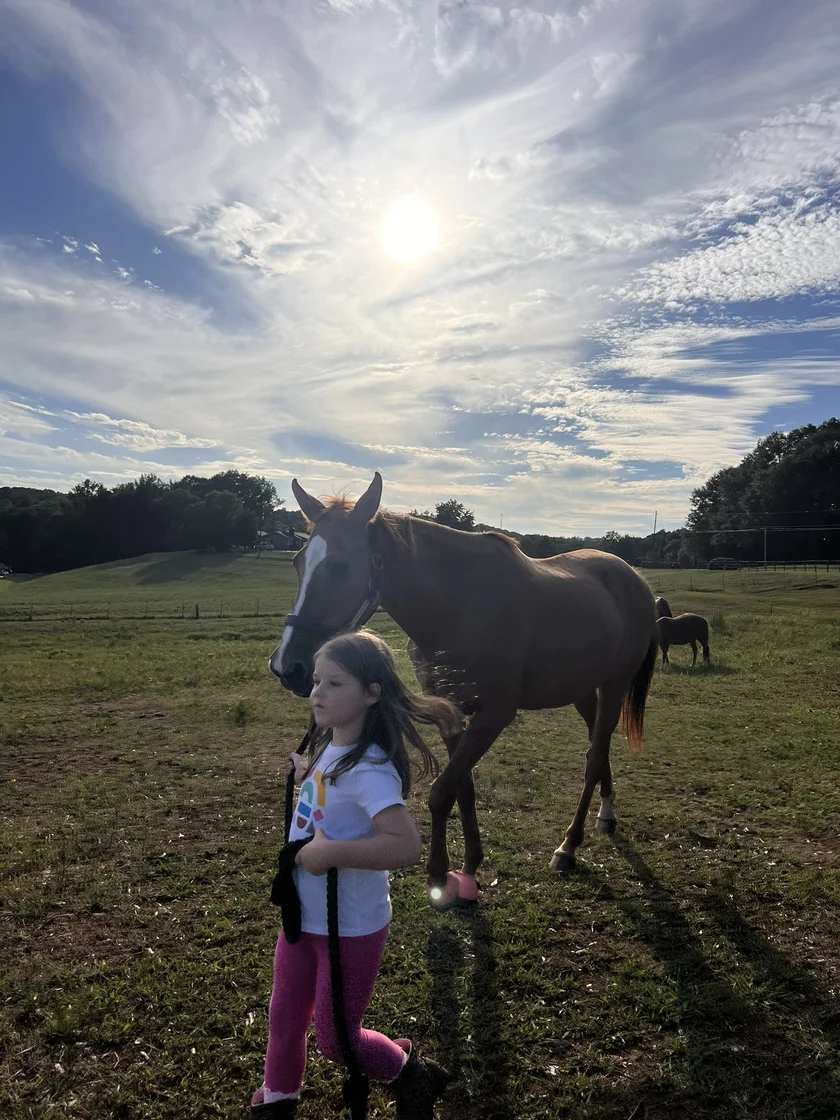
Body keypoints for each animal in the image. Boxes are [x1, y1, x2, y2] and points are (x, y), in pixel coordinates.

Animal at [269, 473, 658, 902]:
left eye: (340, 566)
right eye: (297, 561)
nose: (287, 667)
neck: (459, 607)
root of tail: (633, 578)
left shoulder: (493, 716)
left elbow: (442, 792)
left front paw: (439, 875)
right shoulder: (451, 714)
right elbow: (462, 788)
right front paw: (469, 864)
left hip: (614, 686)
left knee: (593, 758)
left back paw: (568, 847)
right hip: (583, 692)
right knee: (597, 748)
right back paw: (606, 816)